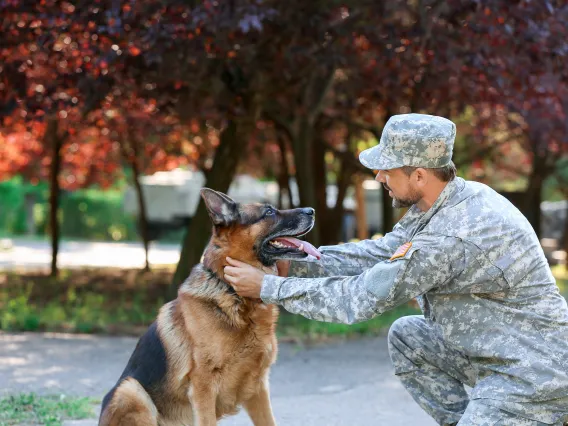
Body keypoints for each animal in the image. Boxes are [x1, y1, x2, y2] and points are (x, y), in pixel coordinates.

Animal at [98, 190, 320, 426]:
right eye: (268, 212)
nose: (312, 211)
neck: (233, 293)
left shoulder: (257, 388)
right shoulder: (202, 388)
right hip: (130, 389)